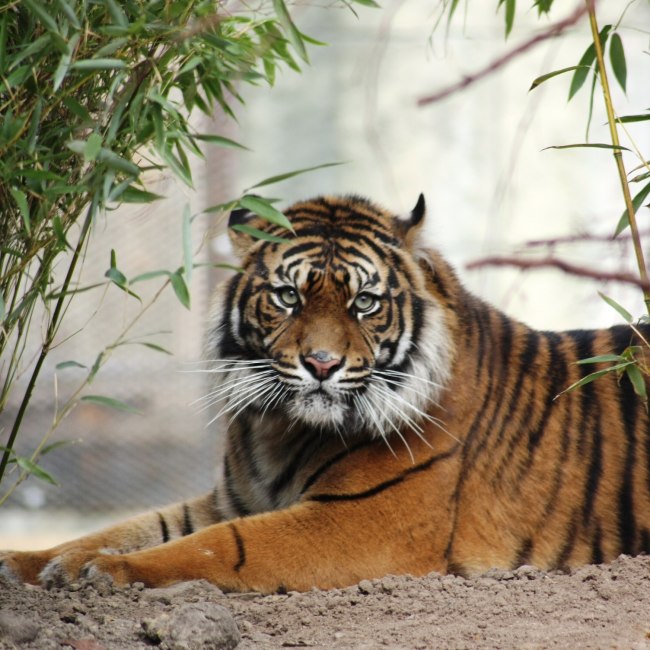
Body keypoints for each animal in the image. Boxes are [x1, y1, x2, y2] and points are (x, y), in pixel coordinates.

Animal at [1, 194, 648, 592]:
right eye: (289, 297)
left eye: (365, 302)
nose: (321, 363)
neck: (280, 429)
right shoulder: (230, 499)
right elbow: (126, 527)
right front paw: (36, 561)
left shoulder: (360, 521)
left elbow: (216, 548)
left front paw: (106, 572)